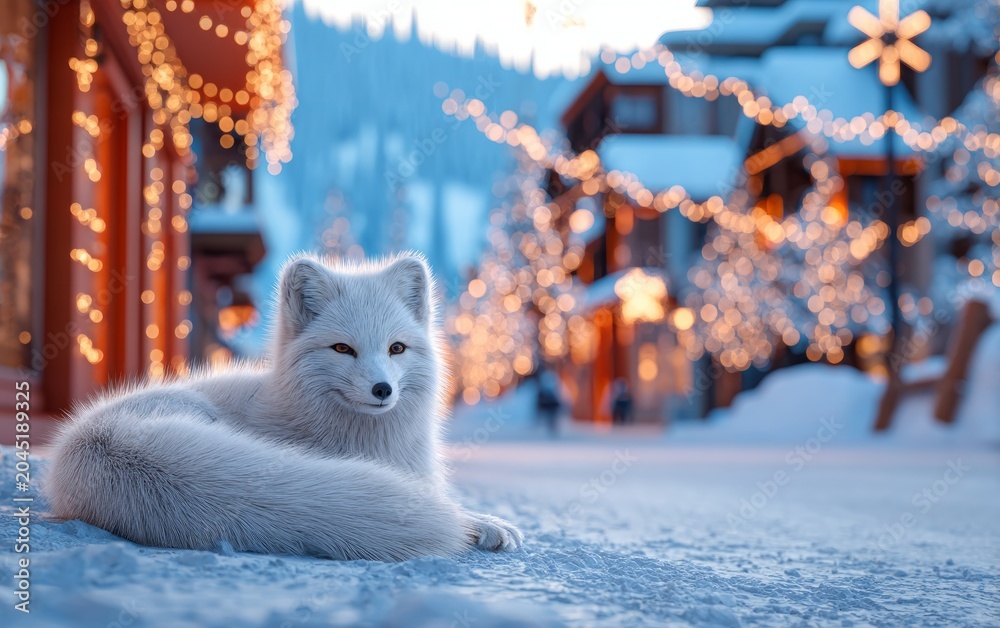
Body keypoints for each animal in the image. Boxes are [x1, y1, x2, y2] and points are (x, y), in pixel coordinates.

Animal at [44, 253, 523, 562]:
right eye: (343, 349)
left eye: (397, 348)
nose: (382, 389)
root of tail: (86, 441)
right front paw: (475, 523)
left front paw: (489, 525)